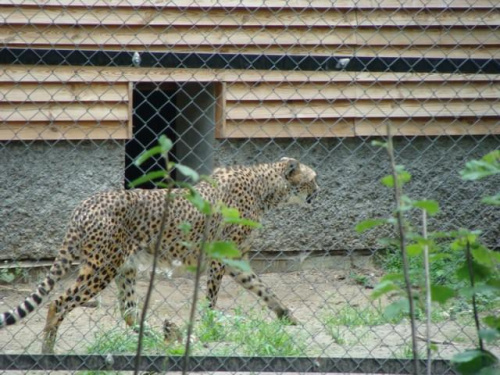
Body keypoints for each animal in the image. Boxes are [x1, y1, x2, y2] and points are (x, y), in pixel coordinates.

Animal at [0, 157, 318, 354]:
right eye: (313, 178)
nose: (319, 191)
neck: (267, 187)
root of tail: (85, 203)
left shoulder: (235, 260)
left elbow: (263, 288)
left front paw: (286, 315)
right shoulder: (219, 257)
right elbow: (213, 297)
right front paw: (208, 324)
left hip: (123, 267)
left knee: (129, 313)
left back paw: (161, 337)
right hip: (102, 267)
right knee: (59, 302)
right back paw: (48, 350)